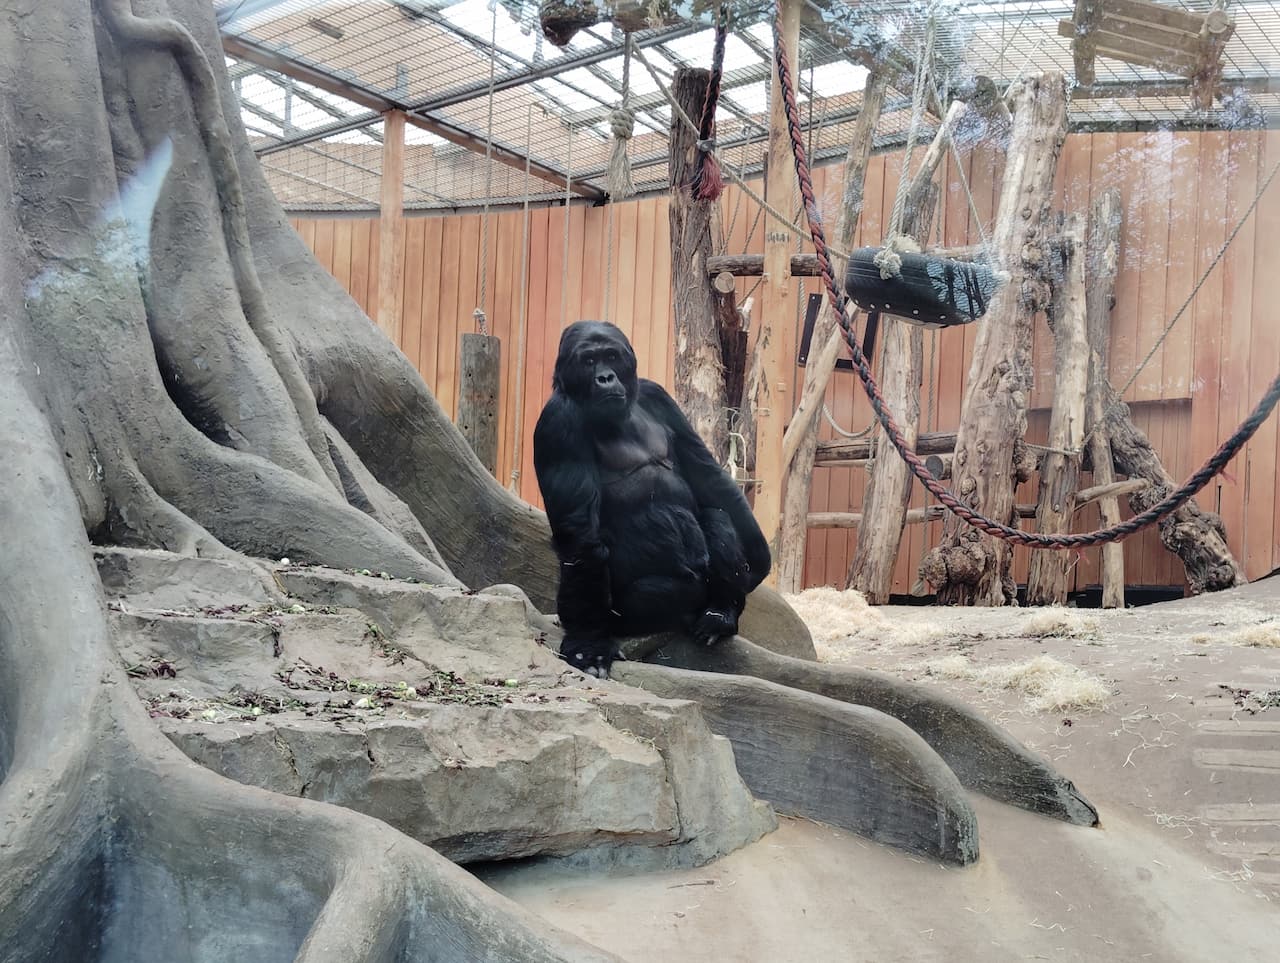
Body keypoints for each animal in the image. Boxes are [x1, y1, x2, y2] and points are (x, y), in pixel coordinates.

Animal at [529, 320, 768, 671]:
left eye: (612, 357)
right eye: (589, 361)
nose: (605, 377)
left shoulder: (659, 396)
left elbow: (707, 475)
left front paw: (759, 558)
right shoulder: (559, 421)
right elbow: (581, 536)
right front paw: (587, 641)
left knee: (717, 517)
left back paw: (721, 611)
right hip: (629, 613)